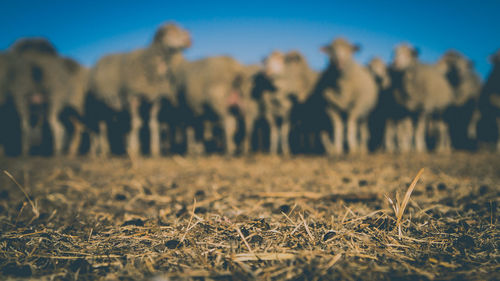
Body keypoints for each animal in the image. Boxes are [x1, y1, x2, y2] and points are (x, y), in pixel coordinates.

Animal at [88, 22, 191, 156]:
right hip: (98, 104)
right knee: (102, 126)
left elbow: (153, 124)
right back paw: (104, 151)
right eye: (170, 32)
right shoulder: (132, 96)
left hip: (112, 105)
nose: (188, 40)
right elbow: (136, 123)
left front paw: (155, 150)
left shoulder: (155, 99)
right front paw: (134, 150)